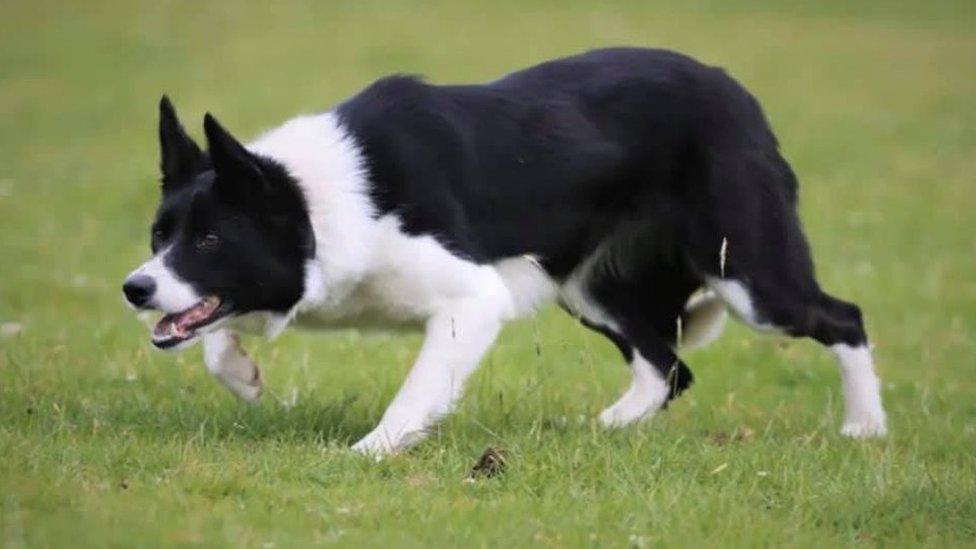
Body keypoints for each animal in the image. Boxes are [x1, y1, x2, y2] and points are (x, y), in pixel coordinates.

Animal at [122, 48, 884, 454]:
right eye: (160, 236)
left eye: (211, 238)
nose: (134, 288)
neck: (313, 204)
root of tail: (734, 89)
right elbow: (214, 337)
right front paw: (244, 375)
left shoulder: (470, 299)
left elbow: (416, 391)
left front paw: (368, 455)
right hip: (589, 289)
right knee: (667, 367)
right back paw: (603, 430)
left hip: (748, 273)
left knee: (842, 316)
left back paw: (865, 428)